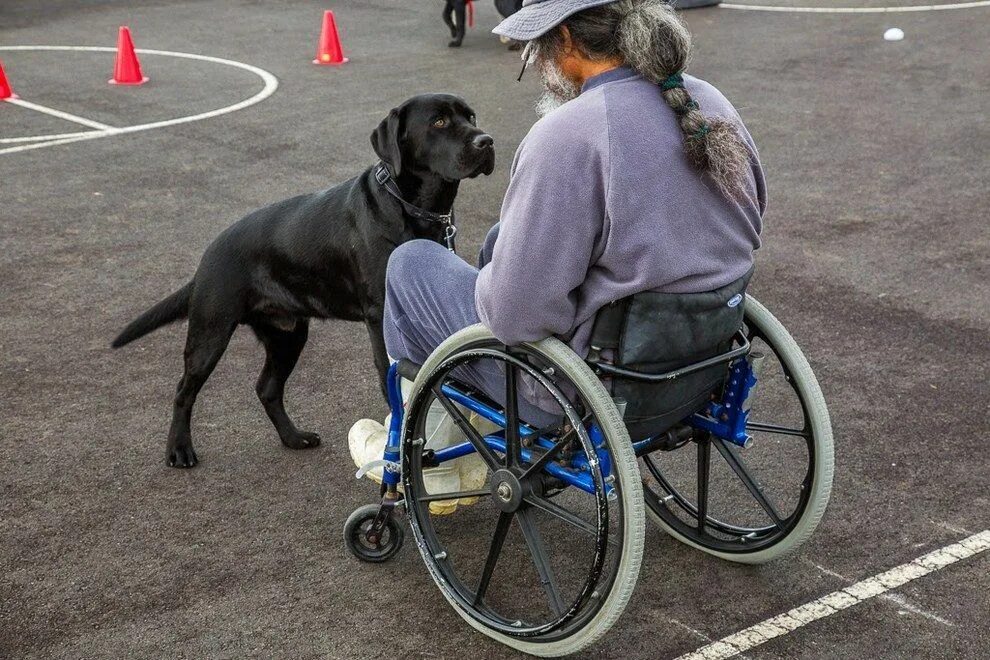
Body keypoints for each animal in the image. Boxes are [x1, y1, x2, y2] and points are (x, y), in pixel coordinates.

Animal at [112, 94, 496, 470]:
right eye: (439, 121)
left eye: (471, 116)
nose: (486, 141)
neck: (415, 208)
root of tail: (207, 257)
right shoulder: (381, 316)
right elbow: (394, 381)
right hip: (210, 331)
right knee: (184, 390)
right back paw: (179, 450)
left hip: (288, 335)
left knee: (266, 388)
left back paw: (293, 438)